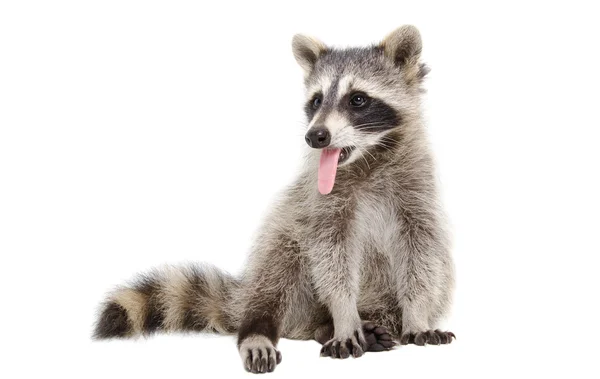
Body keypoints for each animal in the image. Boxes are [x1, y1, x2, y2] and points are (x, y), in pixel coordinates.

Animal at [94, 25, 454, 376]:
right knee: (279, 266)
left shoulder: (417, 193)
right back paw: (268, 328)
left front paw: (416, 315)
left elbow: (422, 256)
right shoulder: (322, 203)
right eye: (316, 100)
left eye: (358, 99)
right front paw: (343, 317)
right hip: (286, 240)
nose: (315, 136)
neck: (367, 160)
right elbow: (331, 260)